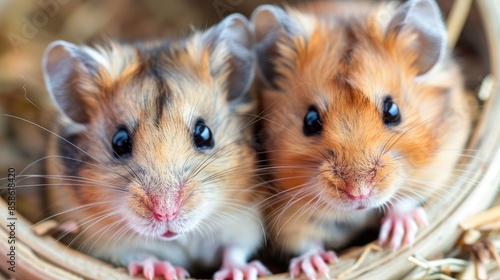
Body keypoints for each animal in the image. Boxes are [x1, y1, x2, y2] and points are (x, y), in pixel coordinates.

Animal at [42, 14, 270, 280]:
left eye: (204, 134)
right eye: (119, 142)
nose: (166, 214)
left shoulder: (244, 220)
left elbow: (234, 250)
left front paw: (244, 273)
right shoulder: (104, 242)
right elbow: (139, 254)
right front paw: (169, 271)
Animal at [252, 0, 470, 278]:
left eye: (393, 111)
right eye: (309, 121)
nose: (359, 194)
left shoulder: (437, 166)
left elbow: (406, 198)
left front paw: (399, 234)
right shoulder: (284, 215)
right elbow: (303, 242)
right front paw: (314, 267)